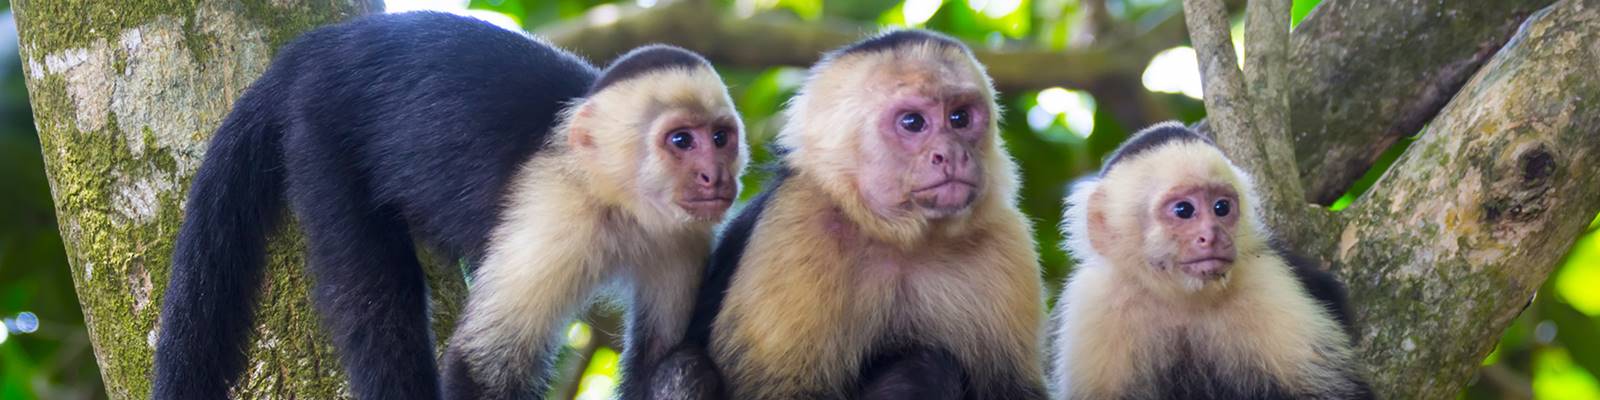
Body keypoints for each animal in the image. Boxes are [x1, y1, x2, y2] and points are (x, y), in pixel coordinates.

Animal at [152, 12, 746, 400]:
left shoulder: (683, 235)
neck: (615, 197)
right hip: (318, 130)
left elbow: (660, 362)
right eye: (680, 141)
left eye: (720, 138)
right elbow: (484, 369)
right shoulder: (556, 214)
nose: (715, 175)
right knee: (375, 296)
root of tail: (322, 48)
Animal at [673, 29, 1049, 399]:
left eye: (960, 118)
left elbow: (1013, 389)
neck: (901, 238)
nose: (953, 153)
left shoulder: (1006, 239)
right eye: (913, 122)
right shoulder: (796, 223)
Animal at [1049, 122, 1372, 400]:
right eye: (1183, 210)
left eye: (1221, 207)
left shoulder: (1268, 280)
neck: (1181, 298)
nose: (1213, 236)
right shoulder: (1094, 303)